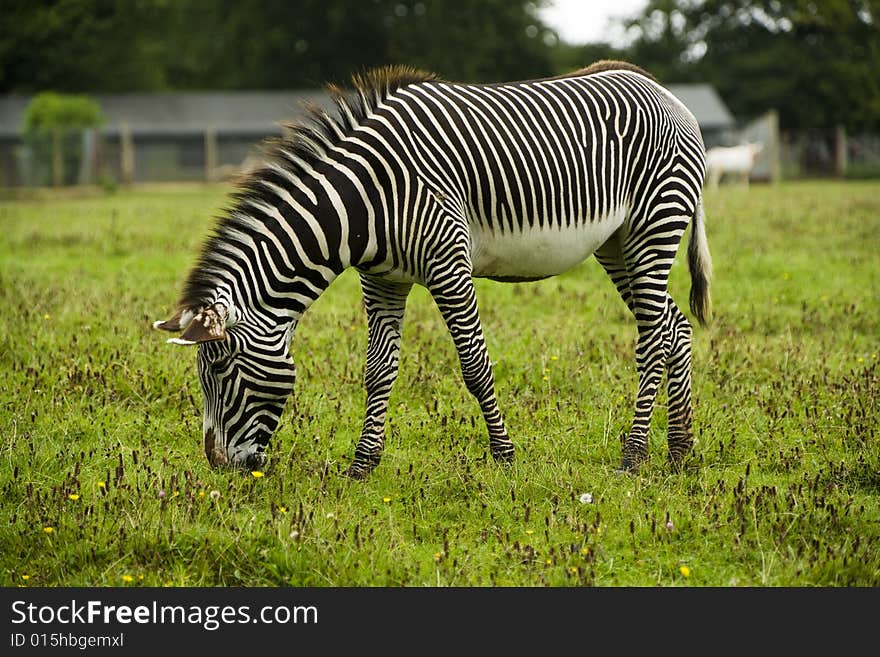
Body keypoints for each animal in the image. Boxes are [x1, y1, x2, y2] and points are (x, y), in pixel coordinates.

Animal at [155, 60, 712, 476]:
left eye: (220, 369)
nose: (218, 466)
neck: (366, 201)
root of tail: (665, 92)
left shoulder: (448, 263)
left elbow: (475, 367)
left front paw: (505, 457)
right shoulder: (382, 279)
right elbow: (378, 371)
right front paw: (362, 466)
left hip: (654, 224)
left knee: (654, 336)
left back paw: (634, 456)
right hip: (617, 243)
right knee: (674, 325)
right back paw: (679, 451)